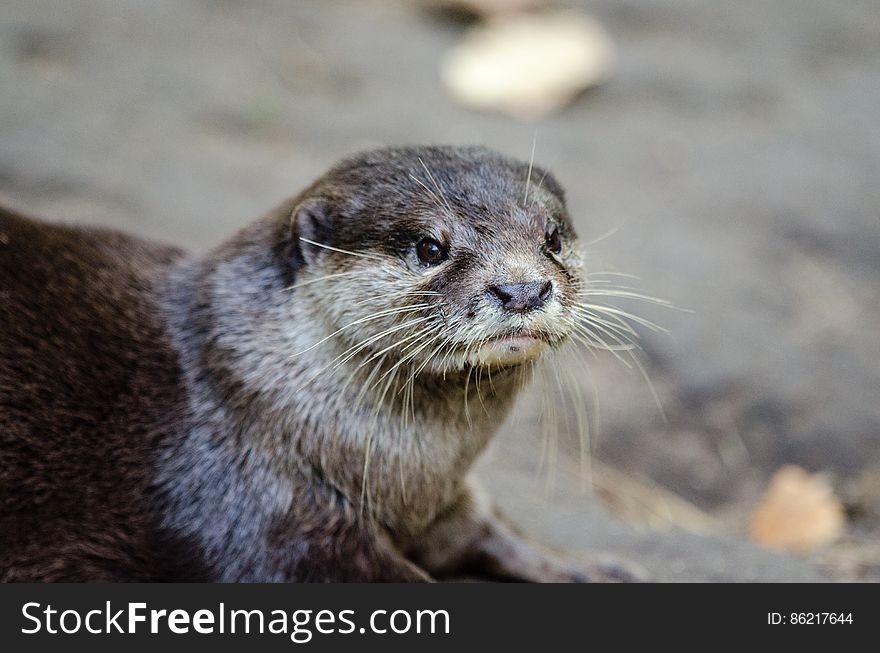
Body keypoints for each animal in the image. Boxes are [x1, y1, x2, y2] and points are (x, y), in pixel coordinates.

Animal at [0, 144, 632, 580]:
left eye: (553, 237)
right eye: (430, 247)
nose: (522, 289)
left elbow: (487, 524)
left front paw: (594, 567)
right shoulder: (266, 521)